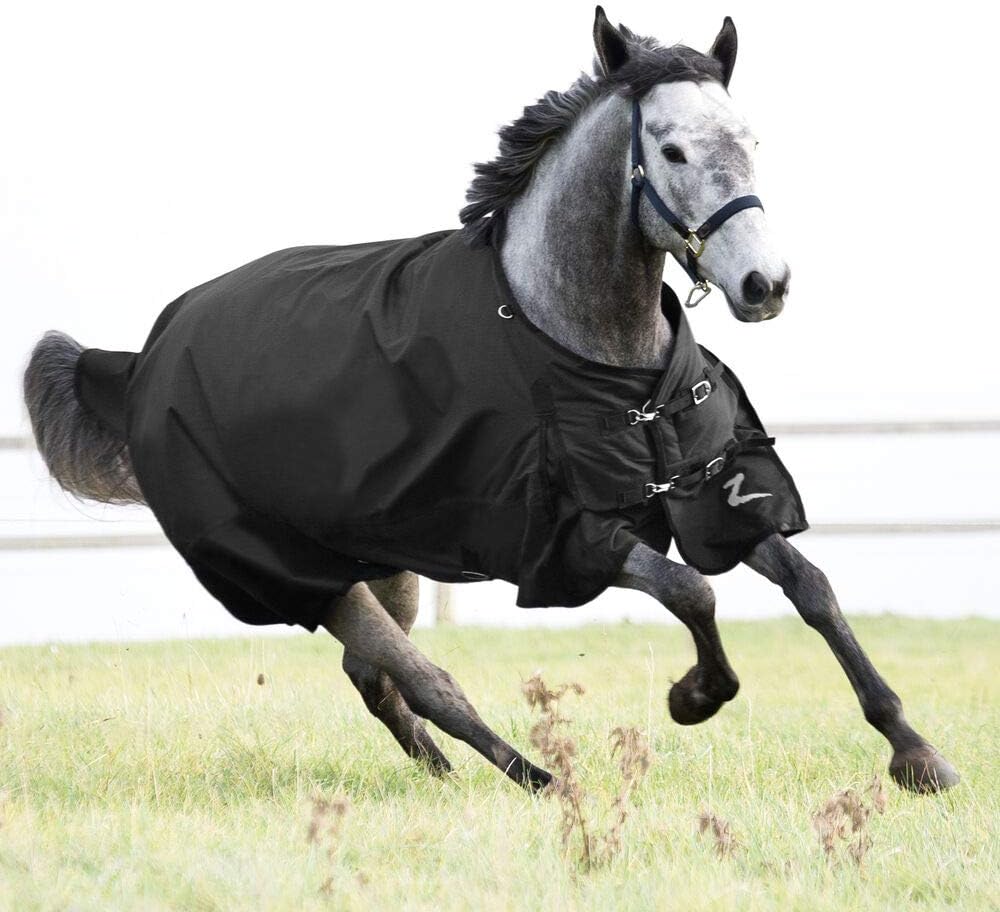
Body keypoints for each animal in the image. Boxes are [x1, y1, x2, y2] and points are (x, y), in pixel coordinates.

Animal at [23, 8, 958, 794]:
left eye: (752, 139)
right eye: (671, 151)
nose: (766, 285)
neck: (585, 347)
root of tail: (142, 359)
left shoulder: (704, 493)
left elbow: (810, 586)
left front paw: (917, 755)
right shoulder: (572, 535)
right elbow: (694, 592)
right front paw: (694, 696)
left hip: (382, 559)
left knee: (376, 679)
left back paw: (446, 777)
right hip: (307, 574)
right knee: (426, 680)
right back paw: (537, 780)